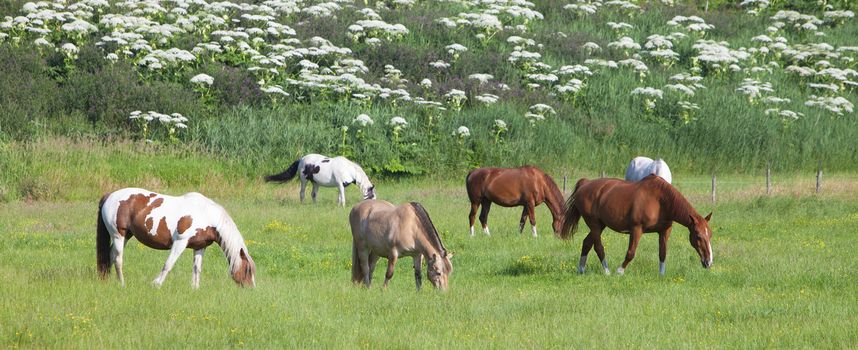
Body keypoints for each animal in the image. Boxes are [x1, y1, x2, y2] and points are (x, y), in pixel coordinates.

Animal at [97, 187, 256, 288]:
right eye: (248, 270)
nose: (251, 288)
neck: (207, 215)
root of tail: (109, 195)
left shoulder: (200, 246)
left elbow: (197, 268)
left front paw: (195, 288)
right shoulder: (180, 242)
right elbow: (168, 265)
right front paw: (156, 284)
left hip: (125, 236)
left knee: (110, 256)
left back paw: (106, 281)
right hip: (118, 235)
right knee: (118, 259)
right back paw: (122, 284)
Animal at [560, 175, 712, 276]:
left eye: (710, 235)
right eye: (698, 236)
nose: (709, 262)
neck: (661, 200)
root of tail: (585, 184)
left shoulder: (664, 231)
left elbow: (663, 253)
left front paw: (661, 274)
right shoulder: (636, 229)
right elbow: (631, 253)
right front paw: (620, 271)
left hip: (600, 225)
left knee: (586, 243)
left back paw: (581, 270)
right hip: (595, 224)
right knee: (598, 247)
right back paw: (607, 271)